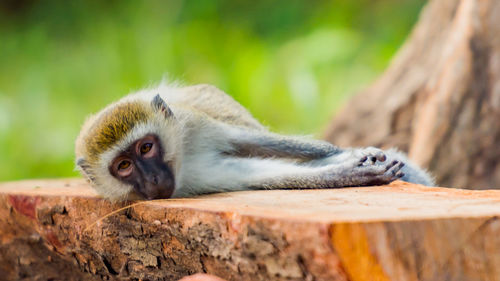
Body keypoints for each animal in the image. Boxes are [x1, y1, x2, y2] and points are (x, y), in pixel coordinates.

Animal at [74, 82, 434, 200]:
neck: (183, 161)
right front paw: (346, 172)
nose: (151, 178)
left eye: (146, 148)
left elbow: (255, 140)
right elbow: (260, 173)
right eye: (124, 166)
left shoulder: (194, 122)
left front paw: (352, 153)